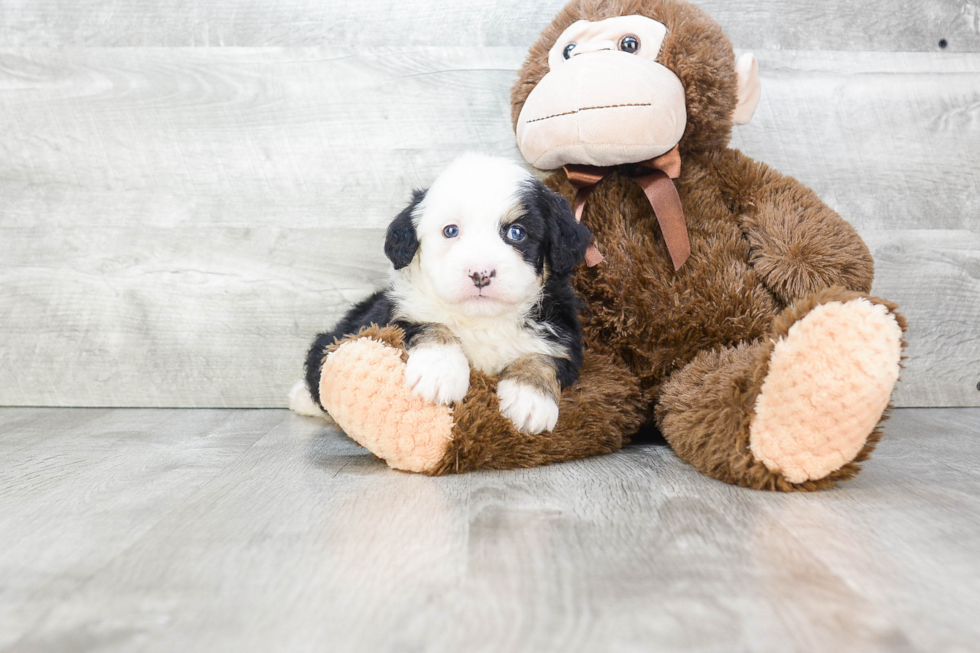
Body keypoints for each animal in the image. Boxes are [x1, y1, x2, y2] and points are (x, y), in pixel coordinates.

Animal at [294, 153, 592, 432]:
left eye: (516, 233)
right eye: (451, 231)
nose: (480, 273)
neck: (482, 320)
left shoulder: (564, 337)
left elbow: (544, 357)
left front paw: (529, 399)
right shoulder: (393, 317)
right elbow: (430, 326)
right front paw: (438, 373)